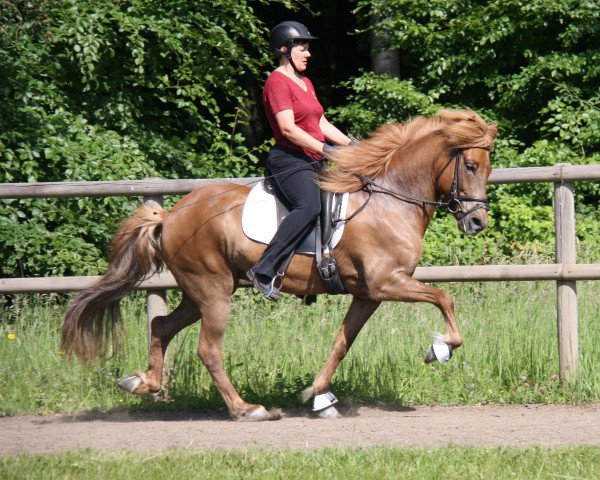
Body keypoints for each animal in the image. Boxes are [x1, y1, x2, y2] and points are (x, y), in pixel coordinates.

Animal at [63, 108, 500, 420]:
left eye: (488, 167)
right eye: (470, 166)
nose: (477, 222)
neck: (390, 200)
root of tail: (170, 214)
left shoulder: (368, 294)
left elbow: (342, 343)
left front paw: (318, 396)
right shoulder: (386, 283)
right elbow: (444, 297)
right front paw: (439, 348)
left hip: (198, 292)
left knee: (161, 327)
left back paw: (143, 383)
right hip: (213, 291)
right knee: (208, 349)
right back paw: (246, 409)